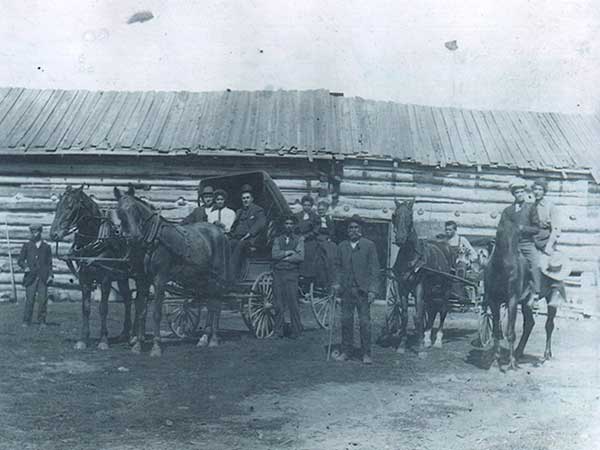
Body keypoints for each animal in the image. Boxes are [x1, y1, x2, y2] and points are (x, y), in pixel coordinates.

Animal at [50, 186, 149, 352]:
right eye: (57, 206)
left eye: (70, 207)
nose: (54, 234)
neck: (94, 239)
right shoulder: (84, 279)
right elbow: (86, 308)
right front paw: (83, 340)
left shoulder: (106, 279)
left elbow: (103, 308)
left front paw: (103, 340)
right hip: (122, 277)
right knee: (129, 299)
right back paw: (125, 334)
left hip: (140, 276)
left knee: (141, 301)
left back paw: (135, 337)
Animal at [113, 185, 230, 356]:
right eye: (120, 211)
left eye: (135, 210)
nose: (134, 237)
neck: (152, 240)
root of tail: (218, 231)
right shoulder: (142, 280)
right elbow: (141, 312)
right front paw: (137, 345)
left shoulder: (160, 279)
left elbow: (156, 313)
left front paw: (156, 347)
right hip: (203, 278)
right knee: (209, 303)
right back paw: (203, 338)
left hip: (217, 277)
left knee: (217, 303)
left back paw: (214, 338)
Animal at [386, 200, 452, 356]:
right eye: (394, 215)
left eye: (410, 216)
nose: (400, 239)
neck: (410, 257)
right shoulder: (402, 287)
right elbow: (405, 316)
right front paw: (402, 345)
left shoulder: (419, 287)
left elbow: (418, 315)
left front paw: (420, 348)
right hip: (431, 292)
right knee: (432, 310)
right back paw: (427, 338)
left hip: (445, 289)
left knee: (443, 311)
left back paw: (437, 341)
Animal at [486, 211, 564, 370]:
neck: (502, 268)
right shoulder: (493, 301)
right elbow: (496, 331)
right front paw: (495, 361)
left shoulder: (512, 301)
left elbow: (510, 332)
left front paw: (511, 364)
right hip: (525, 304)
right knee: (529, 324)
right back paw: (518, 352)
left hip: (551, 297)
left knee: (549, 325)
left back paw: (546, 354)